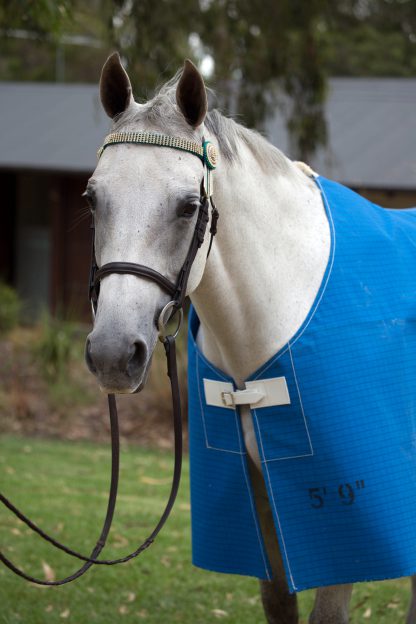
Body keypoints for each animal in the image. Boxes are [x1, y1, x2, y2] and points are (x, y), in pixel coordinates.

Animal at [85, 54, 416, 624]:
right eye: (92, 199)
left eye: (188, 206)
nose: (112, 353)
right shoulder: (260, 499)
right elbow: (278, 602)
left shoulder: (347, 524)